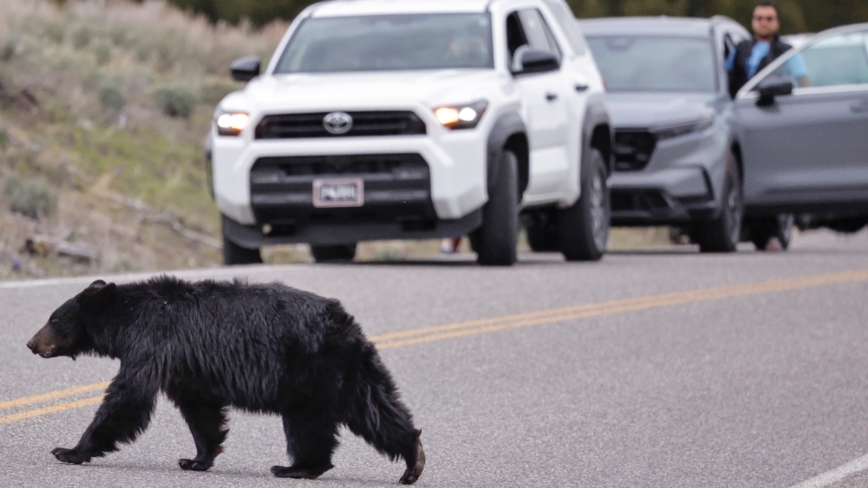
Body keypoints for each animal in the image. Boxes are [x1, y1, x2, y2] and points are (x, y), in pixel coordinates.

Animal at [26, 276, 425, 484]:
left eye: (54, 319)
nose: (31, 343)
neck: (126, 317)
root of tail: (344, 322)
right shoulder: (186, 368)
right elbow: (200, 410)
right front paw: (196, 458)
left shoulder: (152, 341)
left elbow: (127, 398)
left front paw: (69, 450)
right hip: (350, 370)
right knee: (376, 409)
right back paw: (413, 459)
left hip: (308, 370)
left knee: (308, 423)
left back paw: (294, 467)